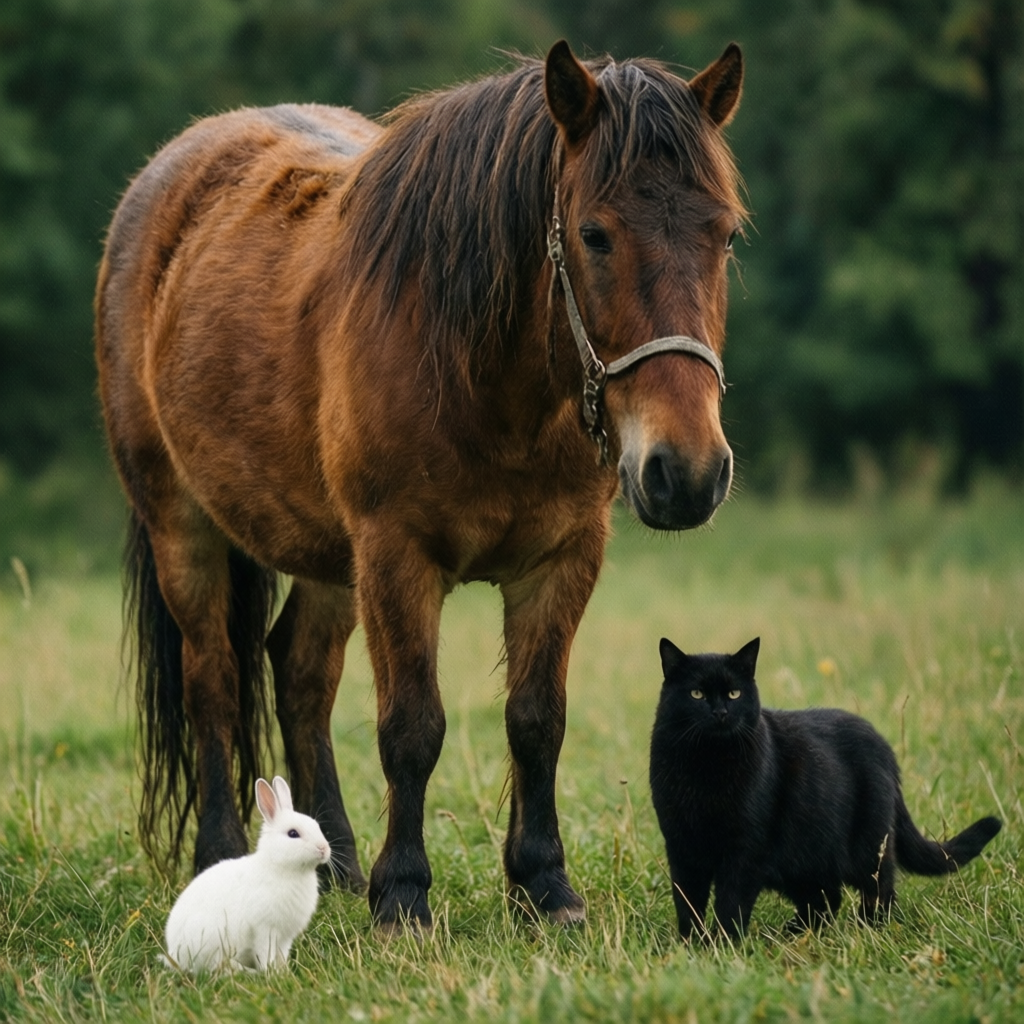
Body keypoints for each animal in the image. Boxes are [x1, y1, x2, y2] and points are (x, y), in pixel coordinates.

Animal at [95, 39, 745, 931]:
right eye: (595, 234)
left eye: (725, 235)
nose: (687, 473)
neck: (487, 378)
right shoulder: (396, 555)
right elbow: (411, 726)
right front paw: (402, 894)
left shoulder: (562, 559)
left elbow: (537, 721)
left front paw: (544, 886)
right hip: (182, 527)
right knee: (214, 684)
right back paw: (221, 855)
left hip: (328, 557)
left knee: (300, 674)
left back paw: (328, 859)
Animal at [163, 776, 332, 972]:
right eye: (293, 833)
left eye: (316, 826)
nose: (324, 848)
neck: (281, 867)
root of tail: (174, 955)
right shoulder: (264, 929)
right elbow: (265, 953)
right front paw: (270, 973)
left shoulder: (285, 937)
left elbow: (281, 955)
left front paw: (284, 971)